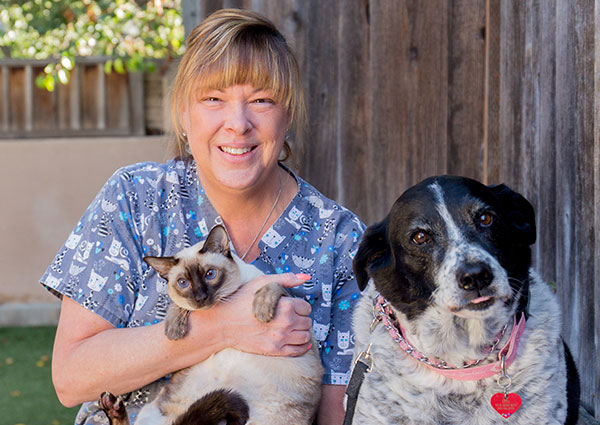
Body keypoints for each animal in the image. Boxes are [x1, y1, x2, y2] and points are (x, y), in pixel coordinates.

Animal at [99, 224, 324, 422]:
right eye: (183, 283)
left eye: (210, 274)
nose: (201, 297)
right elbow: (177, 305)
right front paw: (173, 330)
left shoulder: (289, 295)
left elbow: (272, 285)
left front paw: (261, 311)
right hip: (152, 411)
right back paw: (113, 407)